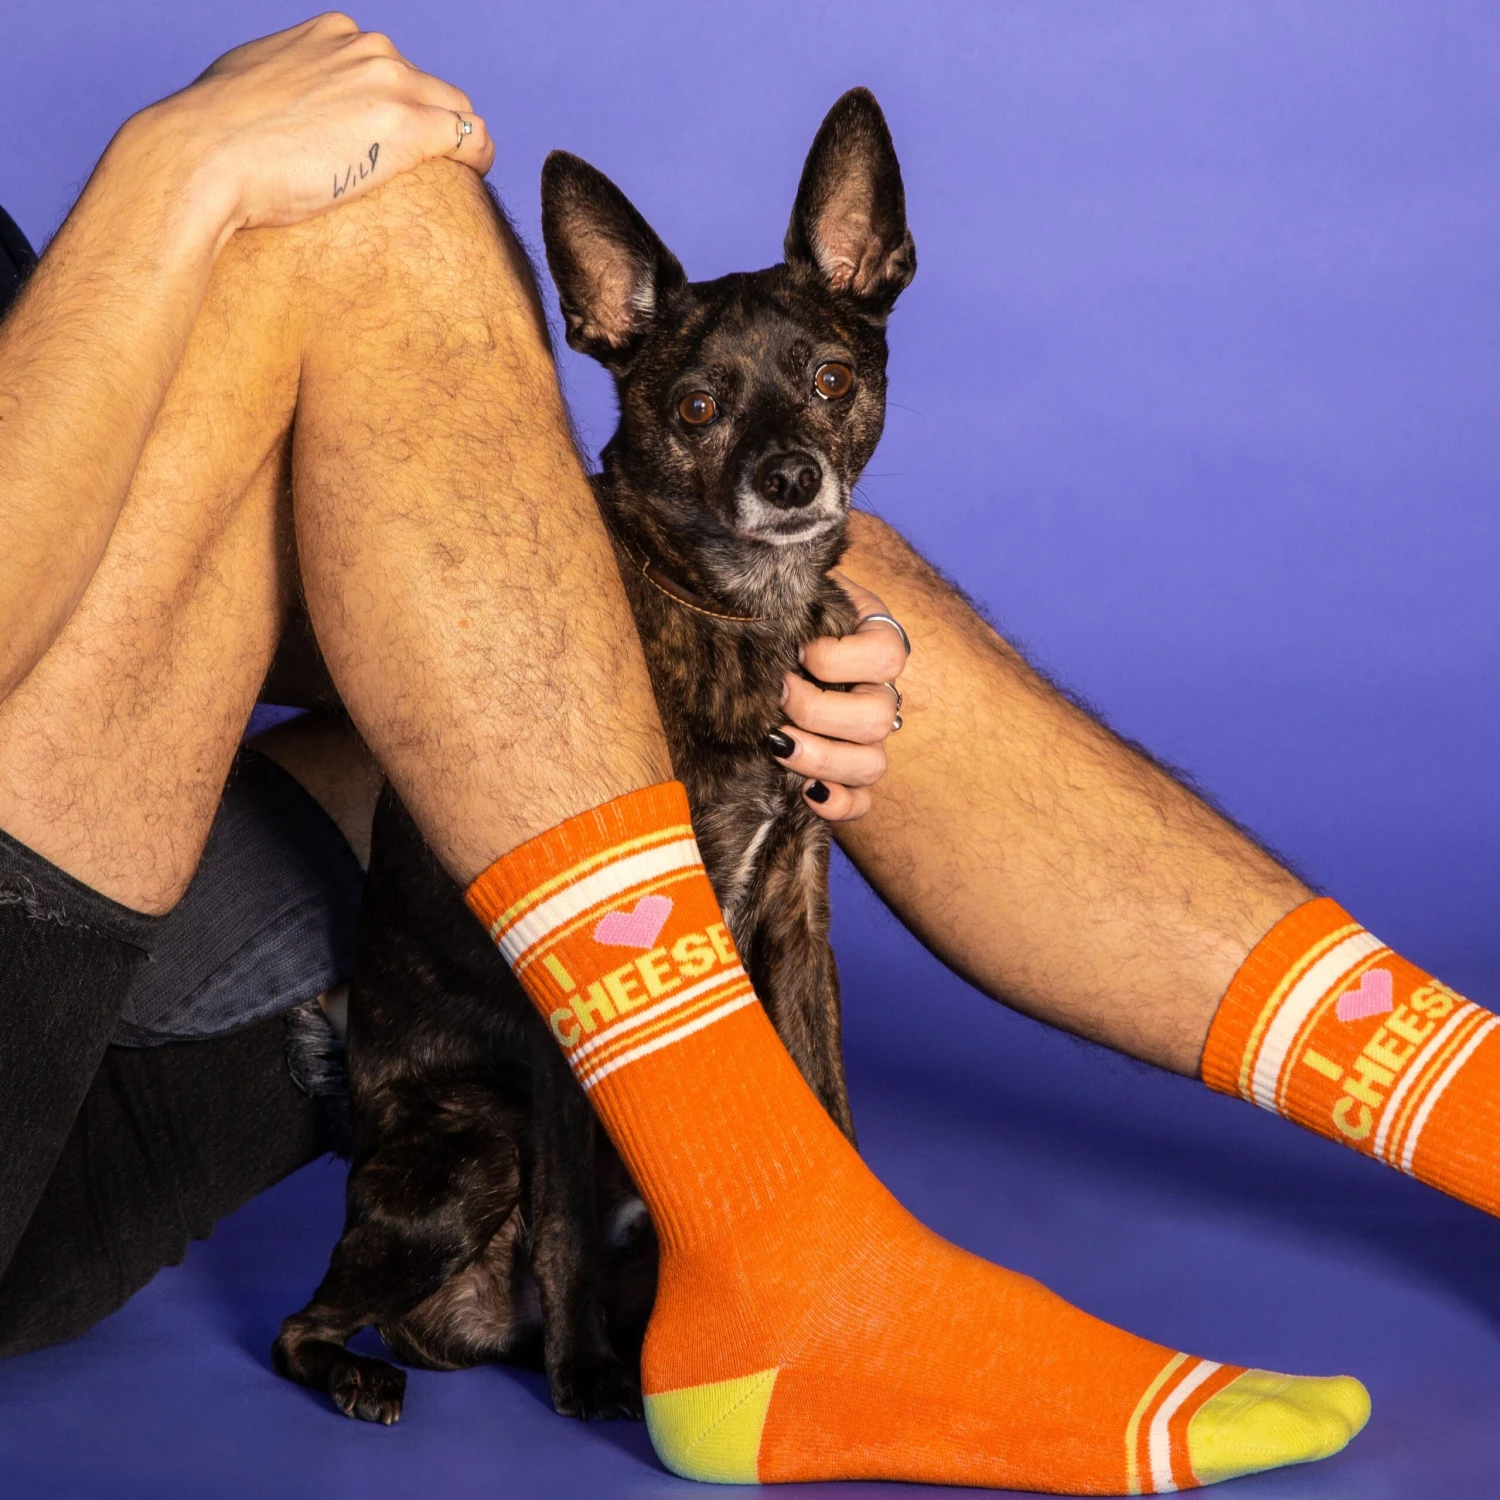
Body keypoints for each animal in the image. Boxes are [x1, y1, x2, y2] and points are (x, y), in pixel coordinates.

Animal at [272, 85, 915, 1426]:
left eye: (833, 380)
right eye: (695, 409)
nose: (791, 478)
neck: (733, 613)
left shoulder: (796, 927)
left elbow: (827, 1109)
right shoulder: (572, 1001)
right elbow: (569, 1212)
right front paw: (591, 1379)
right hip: (473, 1143)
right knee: (305, 1318)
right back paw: (368, 1371)